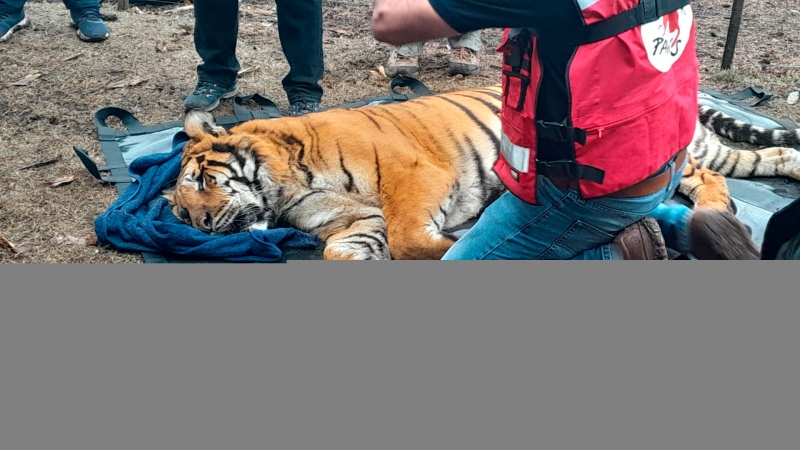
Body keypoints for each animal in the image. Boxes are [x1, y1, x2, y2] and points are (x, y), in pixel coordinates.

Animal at [164, 85, 800, 260]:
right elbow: (342, 252)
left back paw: (715, 219)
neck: (284, 192)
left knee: (715, 180)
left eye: (201, 182)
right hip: (712, 153)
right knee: (765, 161)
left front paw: (459, 239)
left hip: (675, 157)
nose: (201, 226)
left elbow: (413, 238)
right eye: (179, 213)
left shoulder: (414, 174)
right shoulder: (351, 223)